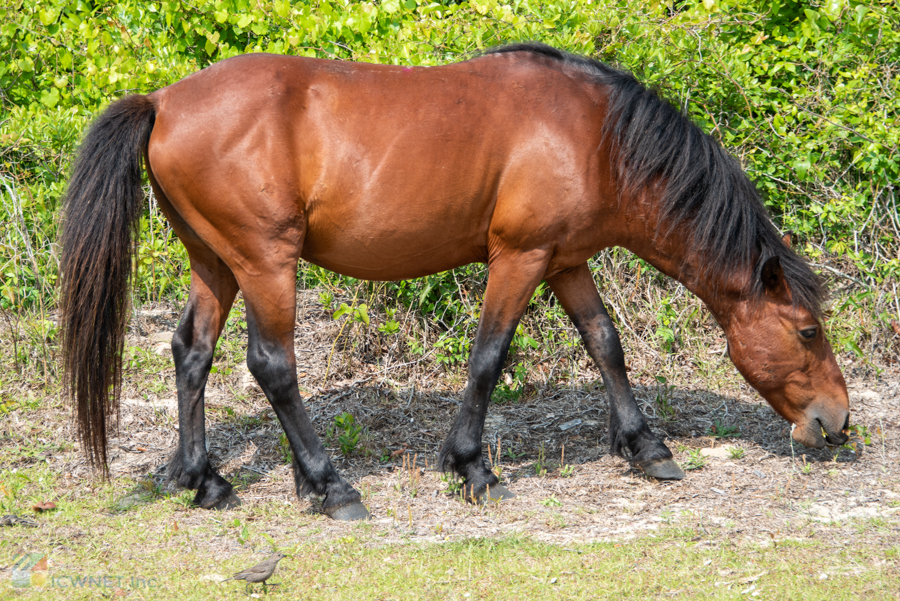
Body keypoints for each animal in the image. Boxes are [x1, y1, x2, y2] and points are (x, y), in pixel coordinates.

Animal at [61, 43, 852, 520]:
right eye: (808, 330)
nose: (838, 423)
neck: (593, 134)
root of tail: (163, 99)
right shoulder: (520, 258)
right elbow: (489, 357)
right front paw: (470, 466)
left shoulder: (565, 260)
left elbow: (606, 343)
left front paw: (646, 447)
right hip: (264, 262)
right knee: (272, 365)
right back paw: (330, 485)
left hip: (216, 262)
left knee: (190, 351)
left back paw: (204, 478)